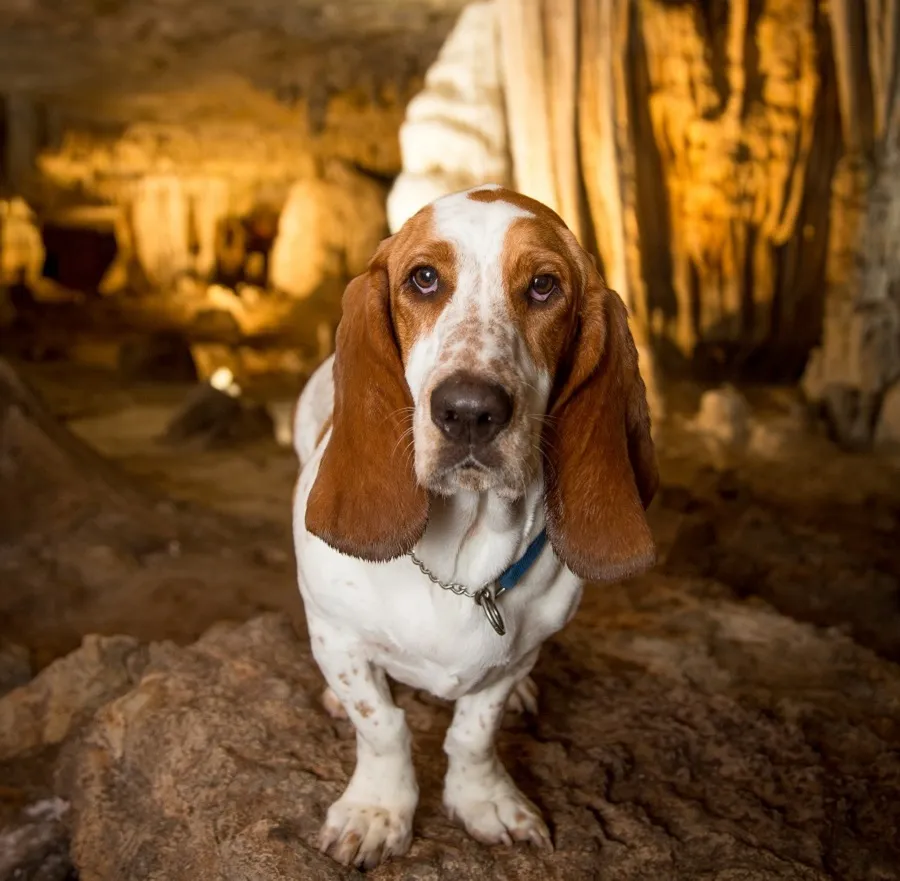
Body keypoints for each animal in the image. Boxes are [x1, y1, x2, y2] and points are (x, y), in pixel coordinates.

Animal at [292, 184, 656, 868]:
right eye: (424, 278)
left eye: (543, 286)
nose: (469, 411)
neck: (460, 560)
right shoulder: (337, 635)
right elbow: (381, 724)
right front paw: (376, 810)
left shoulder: (518, 654)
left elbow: (474, 732)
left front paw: (483, 799)